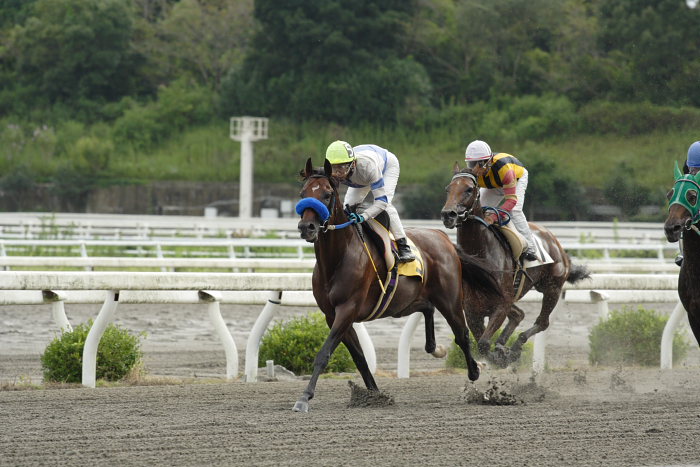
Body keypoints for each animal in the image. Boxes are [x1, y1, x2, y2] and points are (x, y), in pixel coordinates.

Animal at [292, 158, 500, 414]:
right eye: (303, 194)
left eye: (327, 193)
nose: (307, 227)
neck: (337, 258)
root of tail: (443, 239)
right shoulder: (332, 315)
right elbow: (359, 357)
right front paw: (375, 394)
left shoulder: (347, 310)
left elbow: (324, 353)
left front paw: (304, 397)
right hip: (405, 301)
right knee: (427, 308)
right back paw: (435, 348)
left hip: (450, 299)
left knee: (461, 334)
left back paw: (474, 370)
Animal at [440, 165, 588, 366]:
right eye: (448, 189)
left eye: (469, 189)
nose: (448, 214)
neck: (480, 255)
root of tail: (556, 243)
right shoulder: (472, 311)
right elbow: (481, 343)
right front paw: (500, 352)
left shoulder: (502, 304)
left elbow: (484, 344)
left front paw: (503, 355)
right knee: (519, 314)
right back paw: (504, 346)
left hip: (552, 288)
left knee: (542, 322)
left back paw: (516, 346)